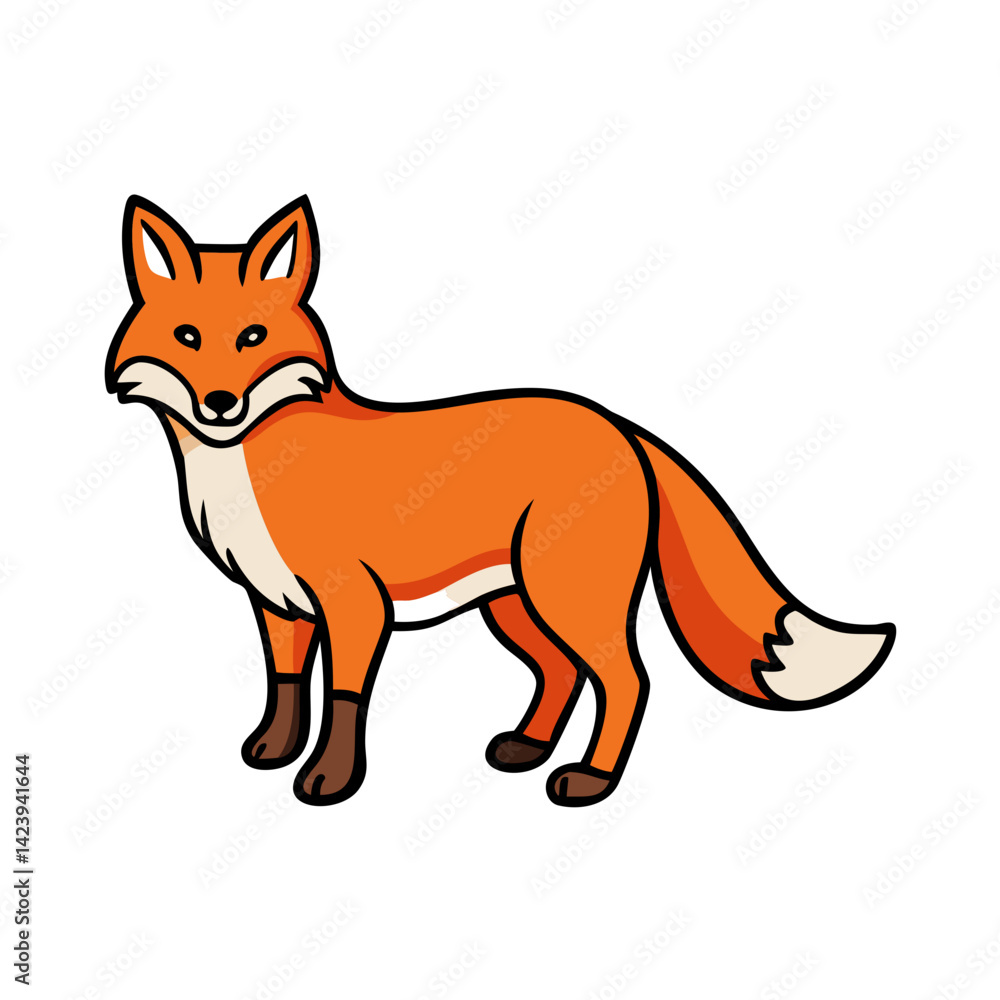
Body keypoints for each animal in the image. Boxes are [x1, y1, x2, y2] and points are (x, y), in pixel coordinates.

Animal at [106, 194, 895, 807]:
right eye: (187, 337)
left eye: (252, 337)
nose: (220, 403)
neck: (247, 465)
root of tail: (618, 423)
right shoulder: (277, 600)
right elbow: (287, 683)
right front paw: (272, 750)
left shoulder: (353, 601)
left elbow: (343, 699)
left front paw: (330, 780)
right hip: (516, 604)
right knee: (563, 672)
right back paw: (528, 748)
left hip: (567, 596)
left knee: (627, 678)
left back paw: (590, 780)